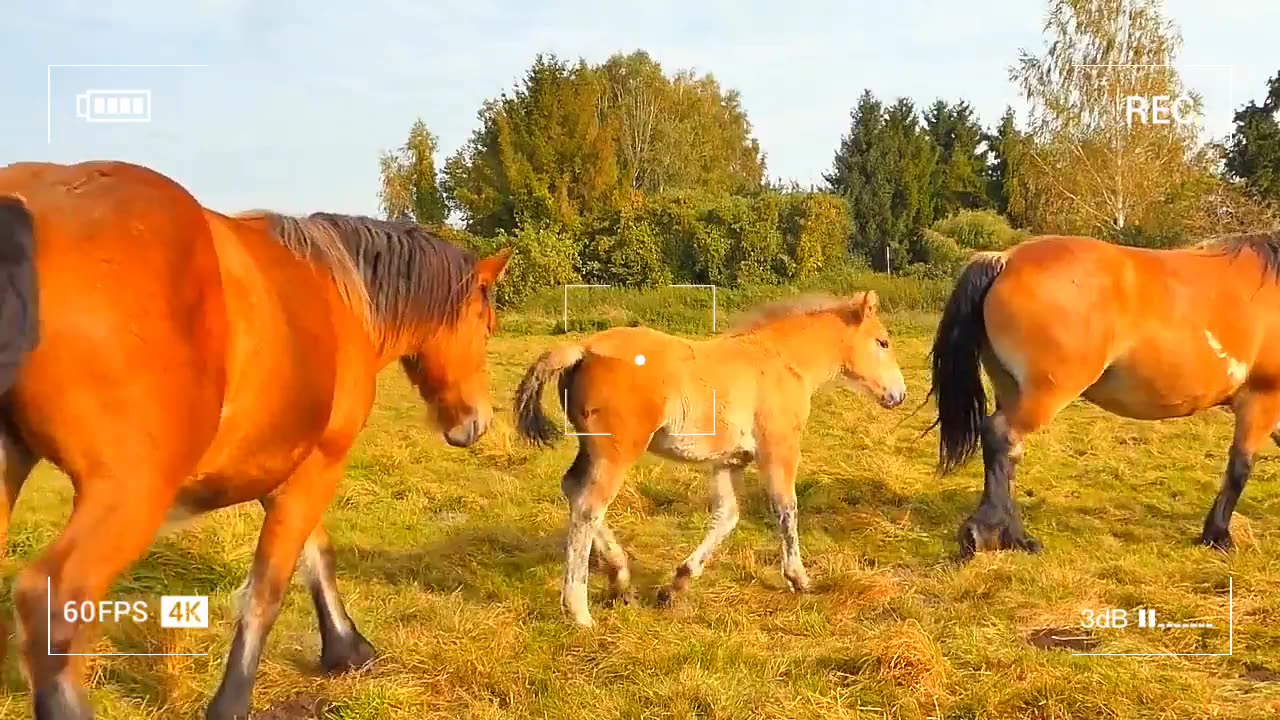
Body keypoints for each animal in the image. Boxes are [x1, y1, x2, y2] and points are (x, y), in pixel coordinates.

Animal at [0, 161, 509, 717]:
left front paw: (346, 646)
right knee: (52, 607)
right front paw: (235, 699)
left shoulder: (283, 465)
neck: (341, 292)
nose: (476, 422)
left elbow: (315, 555)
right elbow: (267, 590)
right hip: (130, 495)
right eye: (485, 324)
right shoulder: (321, 462)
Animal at [512, 289, 911, 622]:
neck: (782, 361)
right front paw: (799, 578)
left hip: (591, 449)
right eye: (882, 341)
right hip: (616, 454)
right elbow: (786, 508)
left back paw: (620, 579)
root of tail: (583, 350)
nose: (899, 394)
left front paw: (676, 586)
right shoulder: (779, 448)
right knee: (588, 508)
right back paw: (579, 611)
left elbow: (727, 516)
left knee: (572, 489)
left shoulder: (728, 462)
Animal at [926, 233, 1280, 558]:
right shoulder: (1261, 400)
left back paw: (1013, 537)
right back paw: (989, 535)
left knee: (1009, 453)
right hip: (1045, 395)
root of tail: (1006, 260)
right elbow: (1239, 468)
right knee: (1000, 436)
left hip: (1012, 389)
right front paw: (1217, 536)